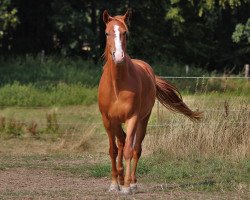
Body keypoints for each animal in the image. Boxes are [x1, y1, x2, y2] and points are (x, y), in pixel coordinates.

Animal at [97, 10, 201, 195]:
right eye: (107, 33)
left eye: (125, 33)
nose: (119, 57)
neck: (117, 86)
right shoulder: (108, 120)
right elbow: (113, 150)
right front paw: (114, 184)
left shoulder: (132, 118)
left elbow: (129, 151)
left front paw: (126, 187)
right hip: (117, 122)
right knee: (121, 142)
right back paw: (122, 177)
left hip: (143, 120)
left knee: (136, 148)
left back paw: (132, 182)